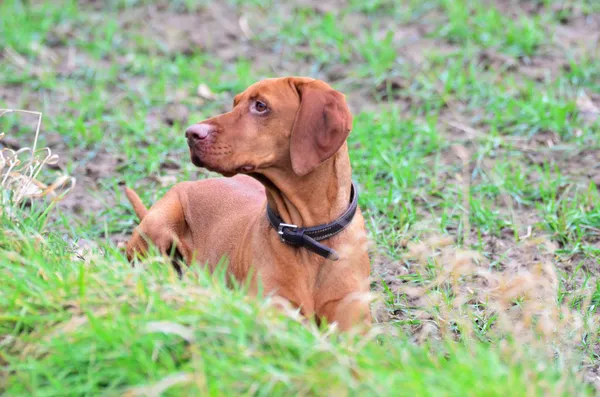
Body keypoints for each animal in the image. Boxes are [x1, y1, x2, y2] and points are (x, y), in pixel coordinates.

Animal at [124, 76, 370, 330]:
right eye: (235, 103)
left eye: (260, 106)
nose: (191, 133)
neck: (307, 234)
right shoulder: (273, 305)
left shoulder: (353, 318)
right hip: (158, 225)